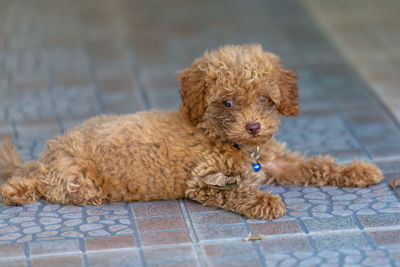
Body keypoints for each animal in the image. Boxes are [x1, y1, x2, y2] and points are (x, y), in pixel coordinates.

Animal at [0, 44, 382, 220]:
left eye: (265, 99)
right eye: (227, 102)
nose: (254, 126)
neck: (231, 142)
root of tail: (48, 154)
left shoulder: (276, 162)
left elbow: (314, 165)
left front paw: (357, 170)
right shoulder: (202, 180)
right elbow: (235, 191)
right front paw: (263, 201)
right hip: (77, 181)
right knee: (47, 187)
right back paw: (17, 190)